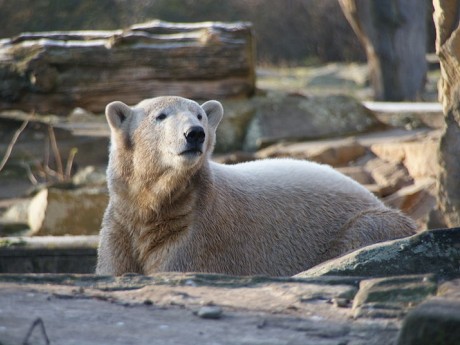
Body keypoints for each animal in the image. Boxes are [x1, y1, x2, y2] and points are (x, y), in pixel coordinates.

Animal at [95, 95, 416, 276]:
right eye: (160, 116)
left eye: (200, 114)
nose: (195, 133)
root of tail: (373, 197)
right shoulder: (120, 225)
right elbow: (113, 267)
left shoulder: (196, 233)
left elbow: (175, 266)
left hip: (369, 222)